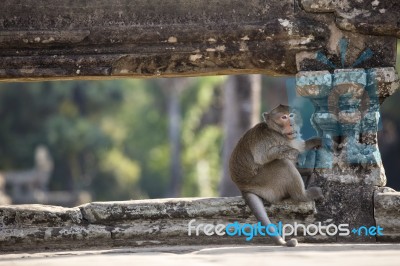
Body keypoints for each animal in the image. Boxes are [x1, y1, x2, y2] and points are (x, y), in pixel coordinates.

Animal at [230, 104, 324, 247]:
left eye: (291, 115)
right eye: (283, 117)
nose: (291, 124)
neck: (279, 133)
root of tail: (244, 188)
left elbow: (301, 146)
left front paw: (315, 141)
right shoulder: (271, 138)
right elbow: (266, 155)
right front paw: (300, 154)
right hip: (266, 182)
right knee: (283, 163)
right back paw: (304, 193)